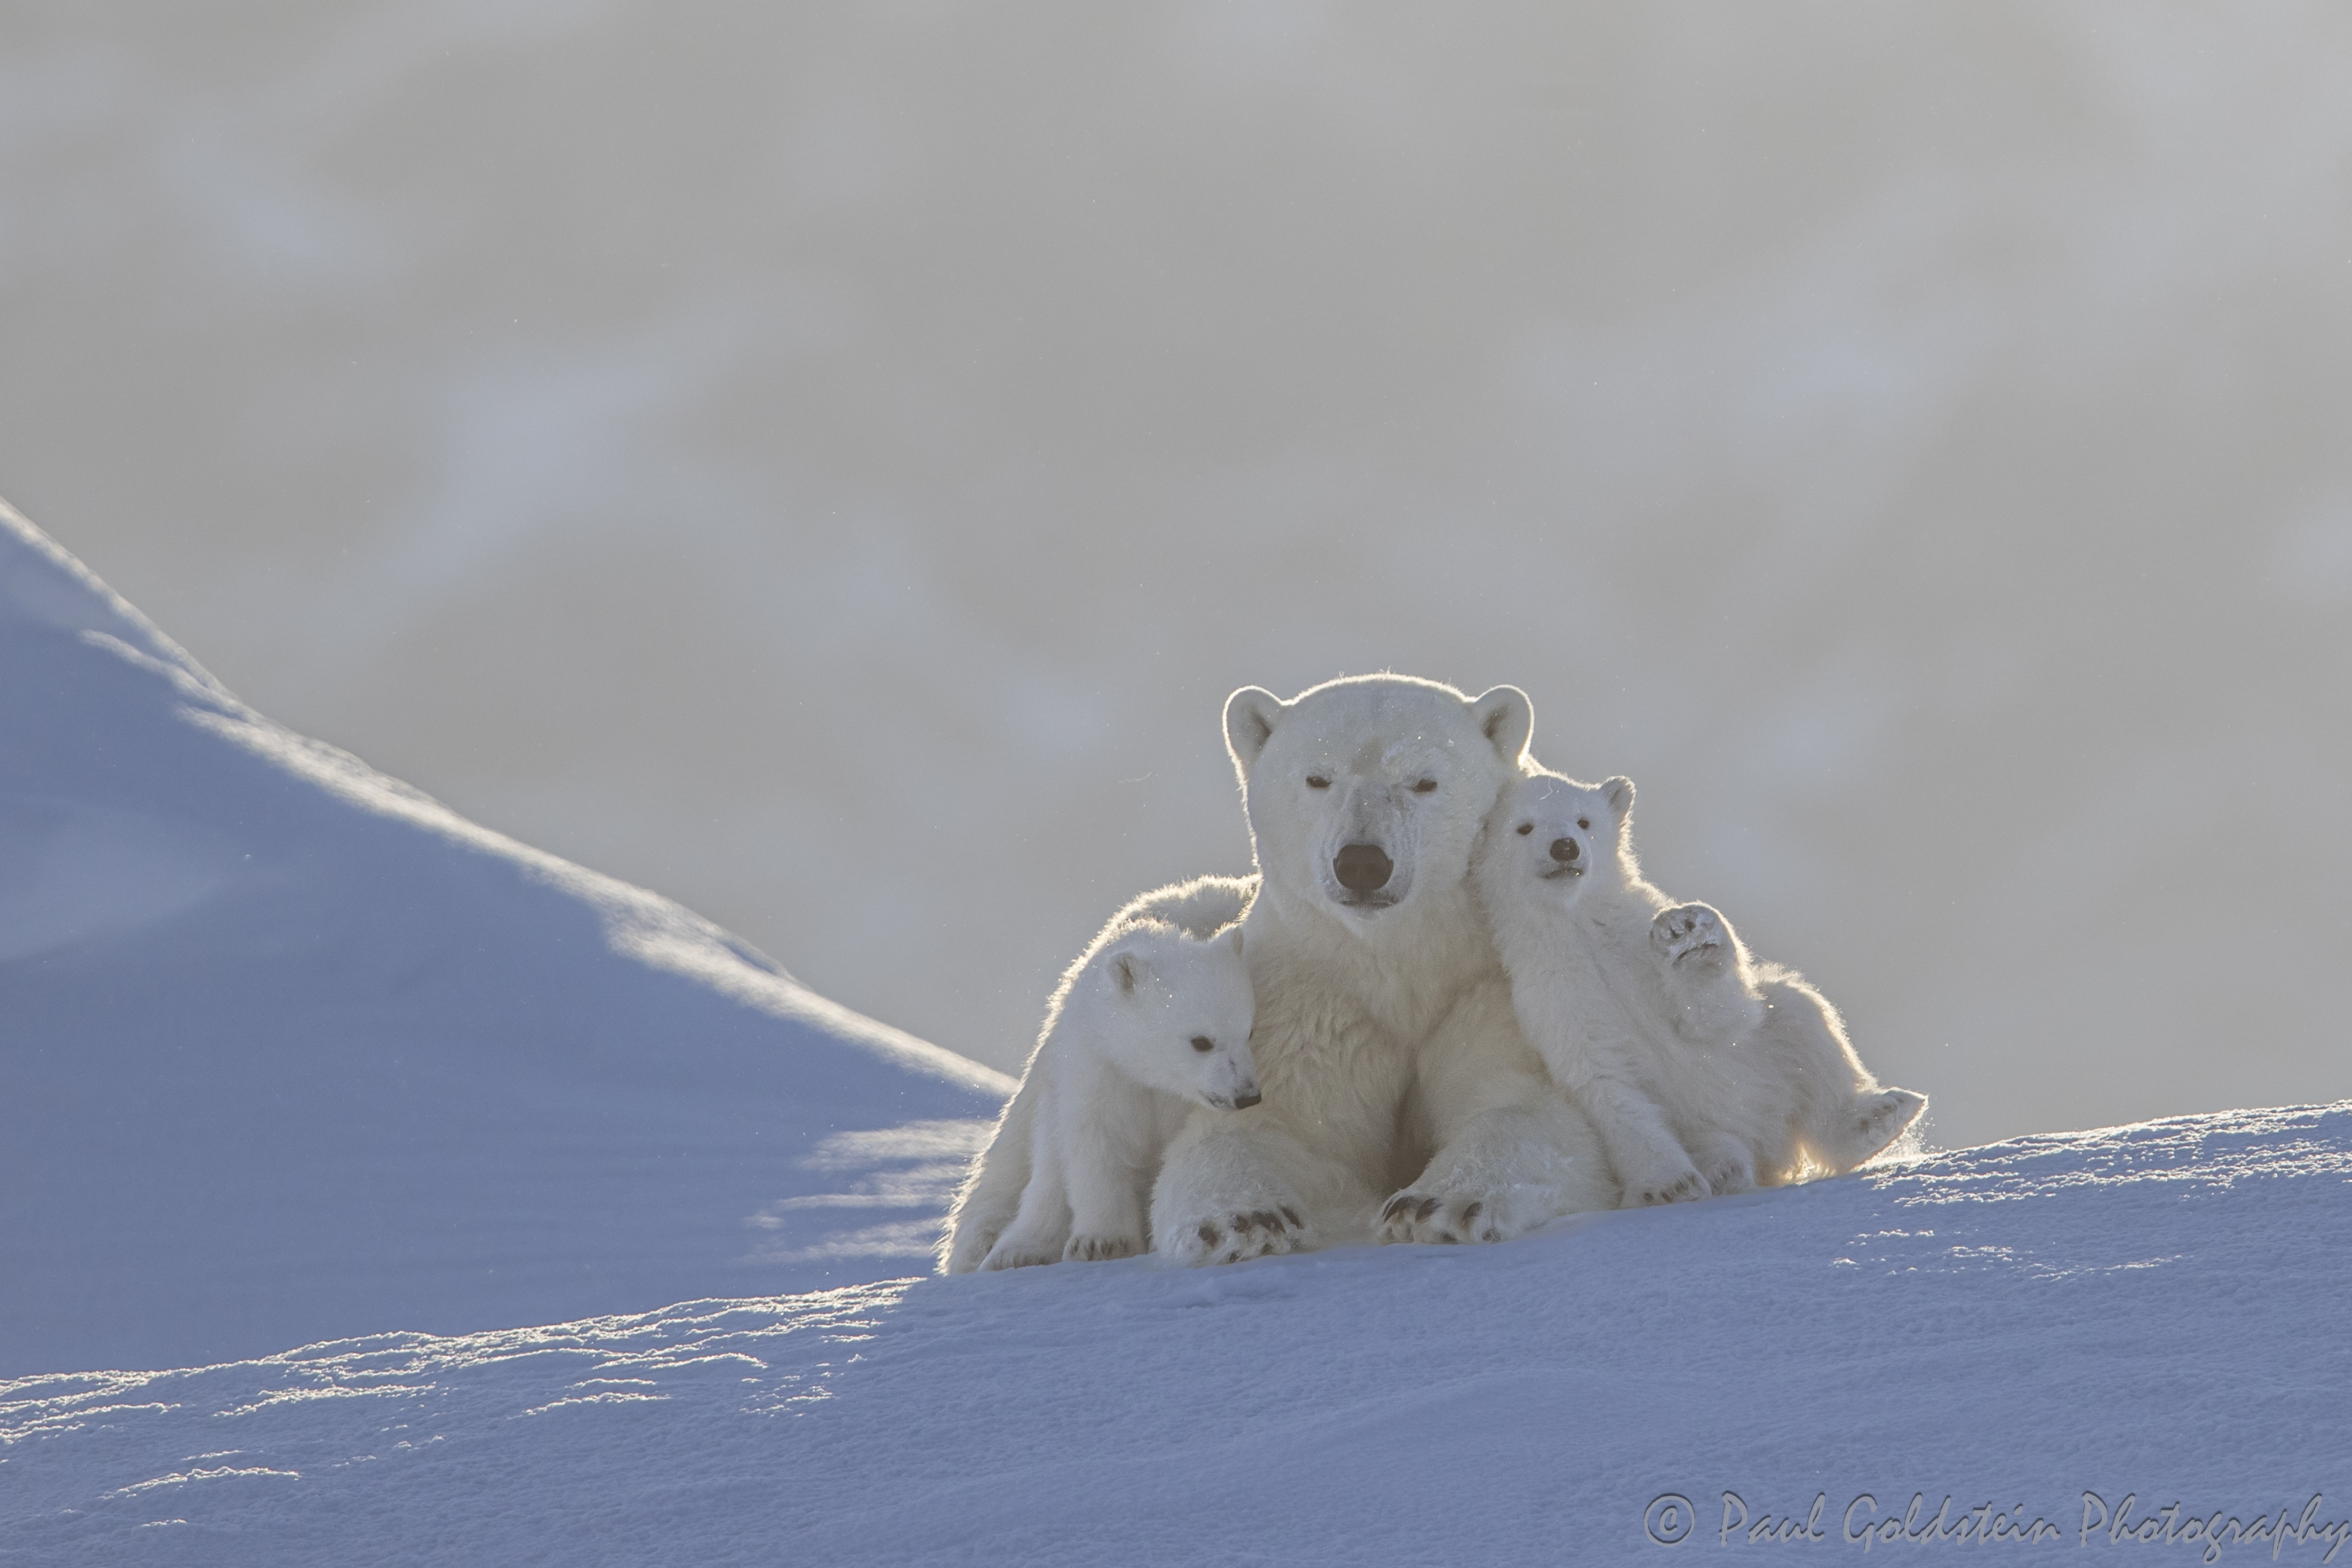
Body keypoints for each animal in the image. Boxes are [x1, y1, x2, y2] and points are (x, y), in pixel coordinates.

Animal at [941, 875, 1258, 1274]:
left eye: (1250, 1032)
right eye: (1201, 1041)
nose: (1247, 1094)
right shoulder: (1099, 1066)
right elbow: (1095, 1143)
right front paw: (1101, 1243)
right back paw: (1007, 1249)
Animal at [1147, 675, 1619, 1266]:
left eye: (1423, 782)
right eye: (1318, 778)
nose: (1362, 863)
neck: (1396, 961)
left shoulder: (1488, 989)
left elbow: (1523, 1104)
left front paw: (1435, 1205)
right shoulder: (1305, 1006)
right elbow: (1263, 1127)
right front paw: (1242, 1221)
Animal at [1472, 768, 1926, 1205]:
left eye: (1585, 821)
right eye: (1524, 827)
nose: (1565, 846)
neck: (1578, 924)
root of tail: (1772, 1146)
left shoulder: (1634, 944)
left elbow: (1707, 1017)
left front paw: (1688, 935)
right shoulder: (1551, 992)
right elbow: (1606, 1081)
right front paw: (1669, 1186)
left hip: (1764, 1061)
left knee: (1800, 1017)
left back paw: (1875, 1118)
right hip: (1700, 1126)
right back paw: (1725, 1167)